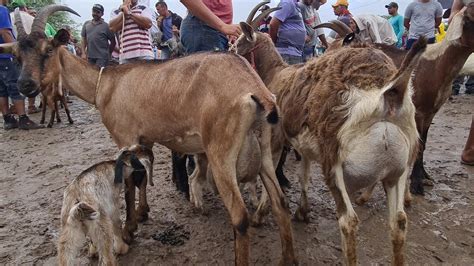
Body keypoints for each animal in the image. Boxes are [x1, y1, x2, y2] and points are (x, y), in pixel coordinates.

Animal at [6, 5, 296, 264]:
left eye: (48, 50)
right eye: (17, 56)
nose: (25, 85)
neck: (106, 84)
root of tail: (254, 89)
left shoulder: (124, 137)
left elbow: (130, 181)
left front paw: (129, 229)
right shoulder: (143, 140)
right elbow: (142, 175)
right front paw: (142, 214)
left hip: (220, 151)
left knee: (240, 216)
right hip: (267, 148)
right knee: (280, 203)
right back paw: (287, 258)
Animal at [235, 18, 424, 264]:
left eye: (240, 41)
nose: (229, 51)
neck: (276, 73)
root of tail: (389, 93)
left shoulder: (275, 138)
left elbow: (273, 175)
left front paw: (259, 214)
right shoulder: (304, 147)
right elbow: (303, 176)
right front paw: (302, 211)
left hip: (335, 164)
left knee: (348, 221)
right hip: (398, 171)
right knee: (399, 221)